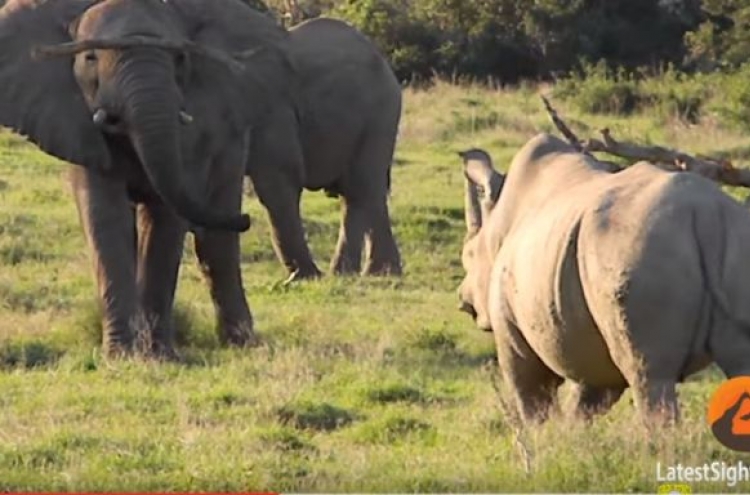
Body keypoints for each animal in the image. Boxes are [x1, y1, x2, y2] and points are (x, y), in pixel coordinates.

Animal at [0, 0, 298, 358]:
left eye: (180, 58)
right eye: (90, 58)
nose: (247, 219)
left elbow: (164, 219)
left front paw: (158, 355)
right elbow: (105, 214)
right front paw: (123, 355)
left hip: (233, 139)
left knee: (217, 243)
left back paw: (242, 344)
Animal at [244, 15, 402, 282]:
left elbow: (278, 178)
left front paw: (302, 279)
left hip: (381, 113)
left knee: (359, 187)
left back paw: (348, 274)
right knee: (369, 189)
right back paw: (380, 273)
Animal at [458, 134, 750, 424]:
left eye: (468, 257)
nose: (463, 302)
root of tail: (706, 215)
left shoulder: (511, 330)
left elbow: (531, 394)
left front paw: (543, 436)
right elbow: (587, 399)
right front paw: (572, 434)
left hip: (635, 248)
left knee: (649, 376)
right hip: (732, 240)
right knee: (739, 365)